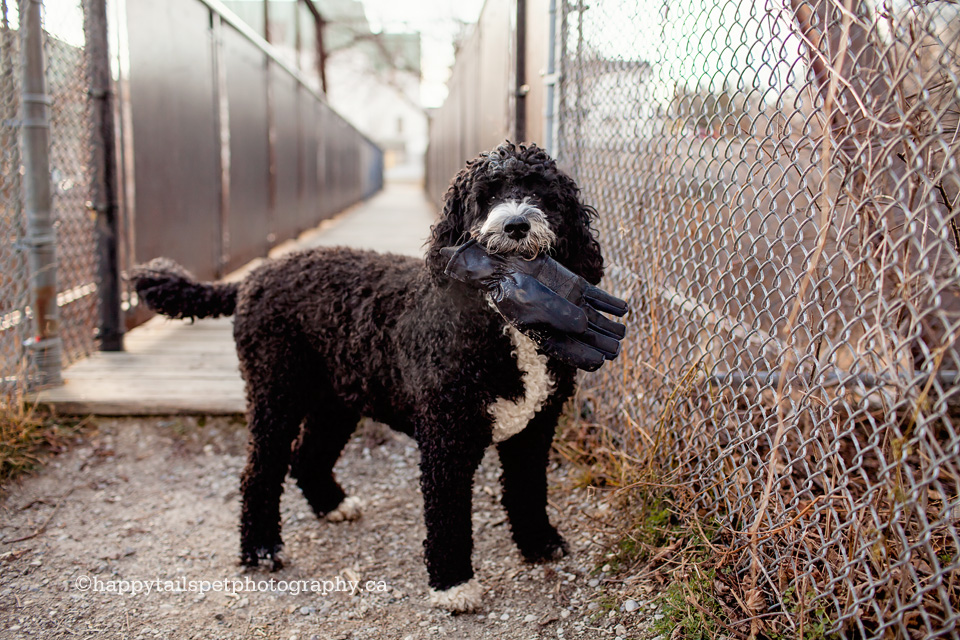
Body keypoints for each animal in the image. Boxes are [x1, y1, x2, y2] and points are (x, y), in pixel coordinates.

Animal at [131, 142, 604, 612]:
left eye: (541, 193)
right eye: (486, 197)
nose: (516, 224)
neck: (500, 325)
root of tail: (253, 276)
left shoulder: (535, 429)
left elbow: (528, 488)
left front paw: (540, 542)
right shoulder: (445, 437)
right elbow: (448, 513)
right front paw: (453, 582)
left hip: (335, 400)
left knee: (307, 456)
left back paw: (332, 505)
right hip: (275, 391)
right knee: (259, 472)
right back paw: (261, 548)